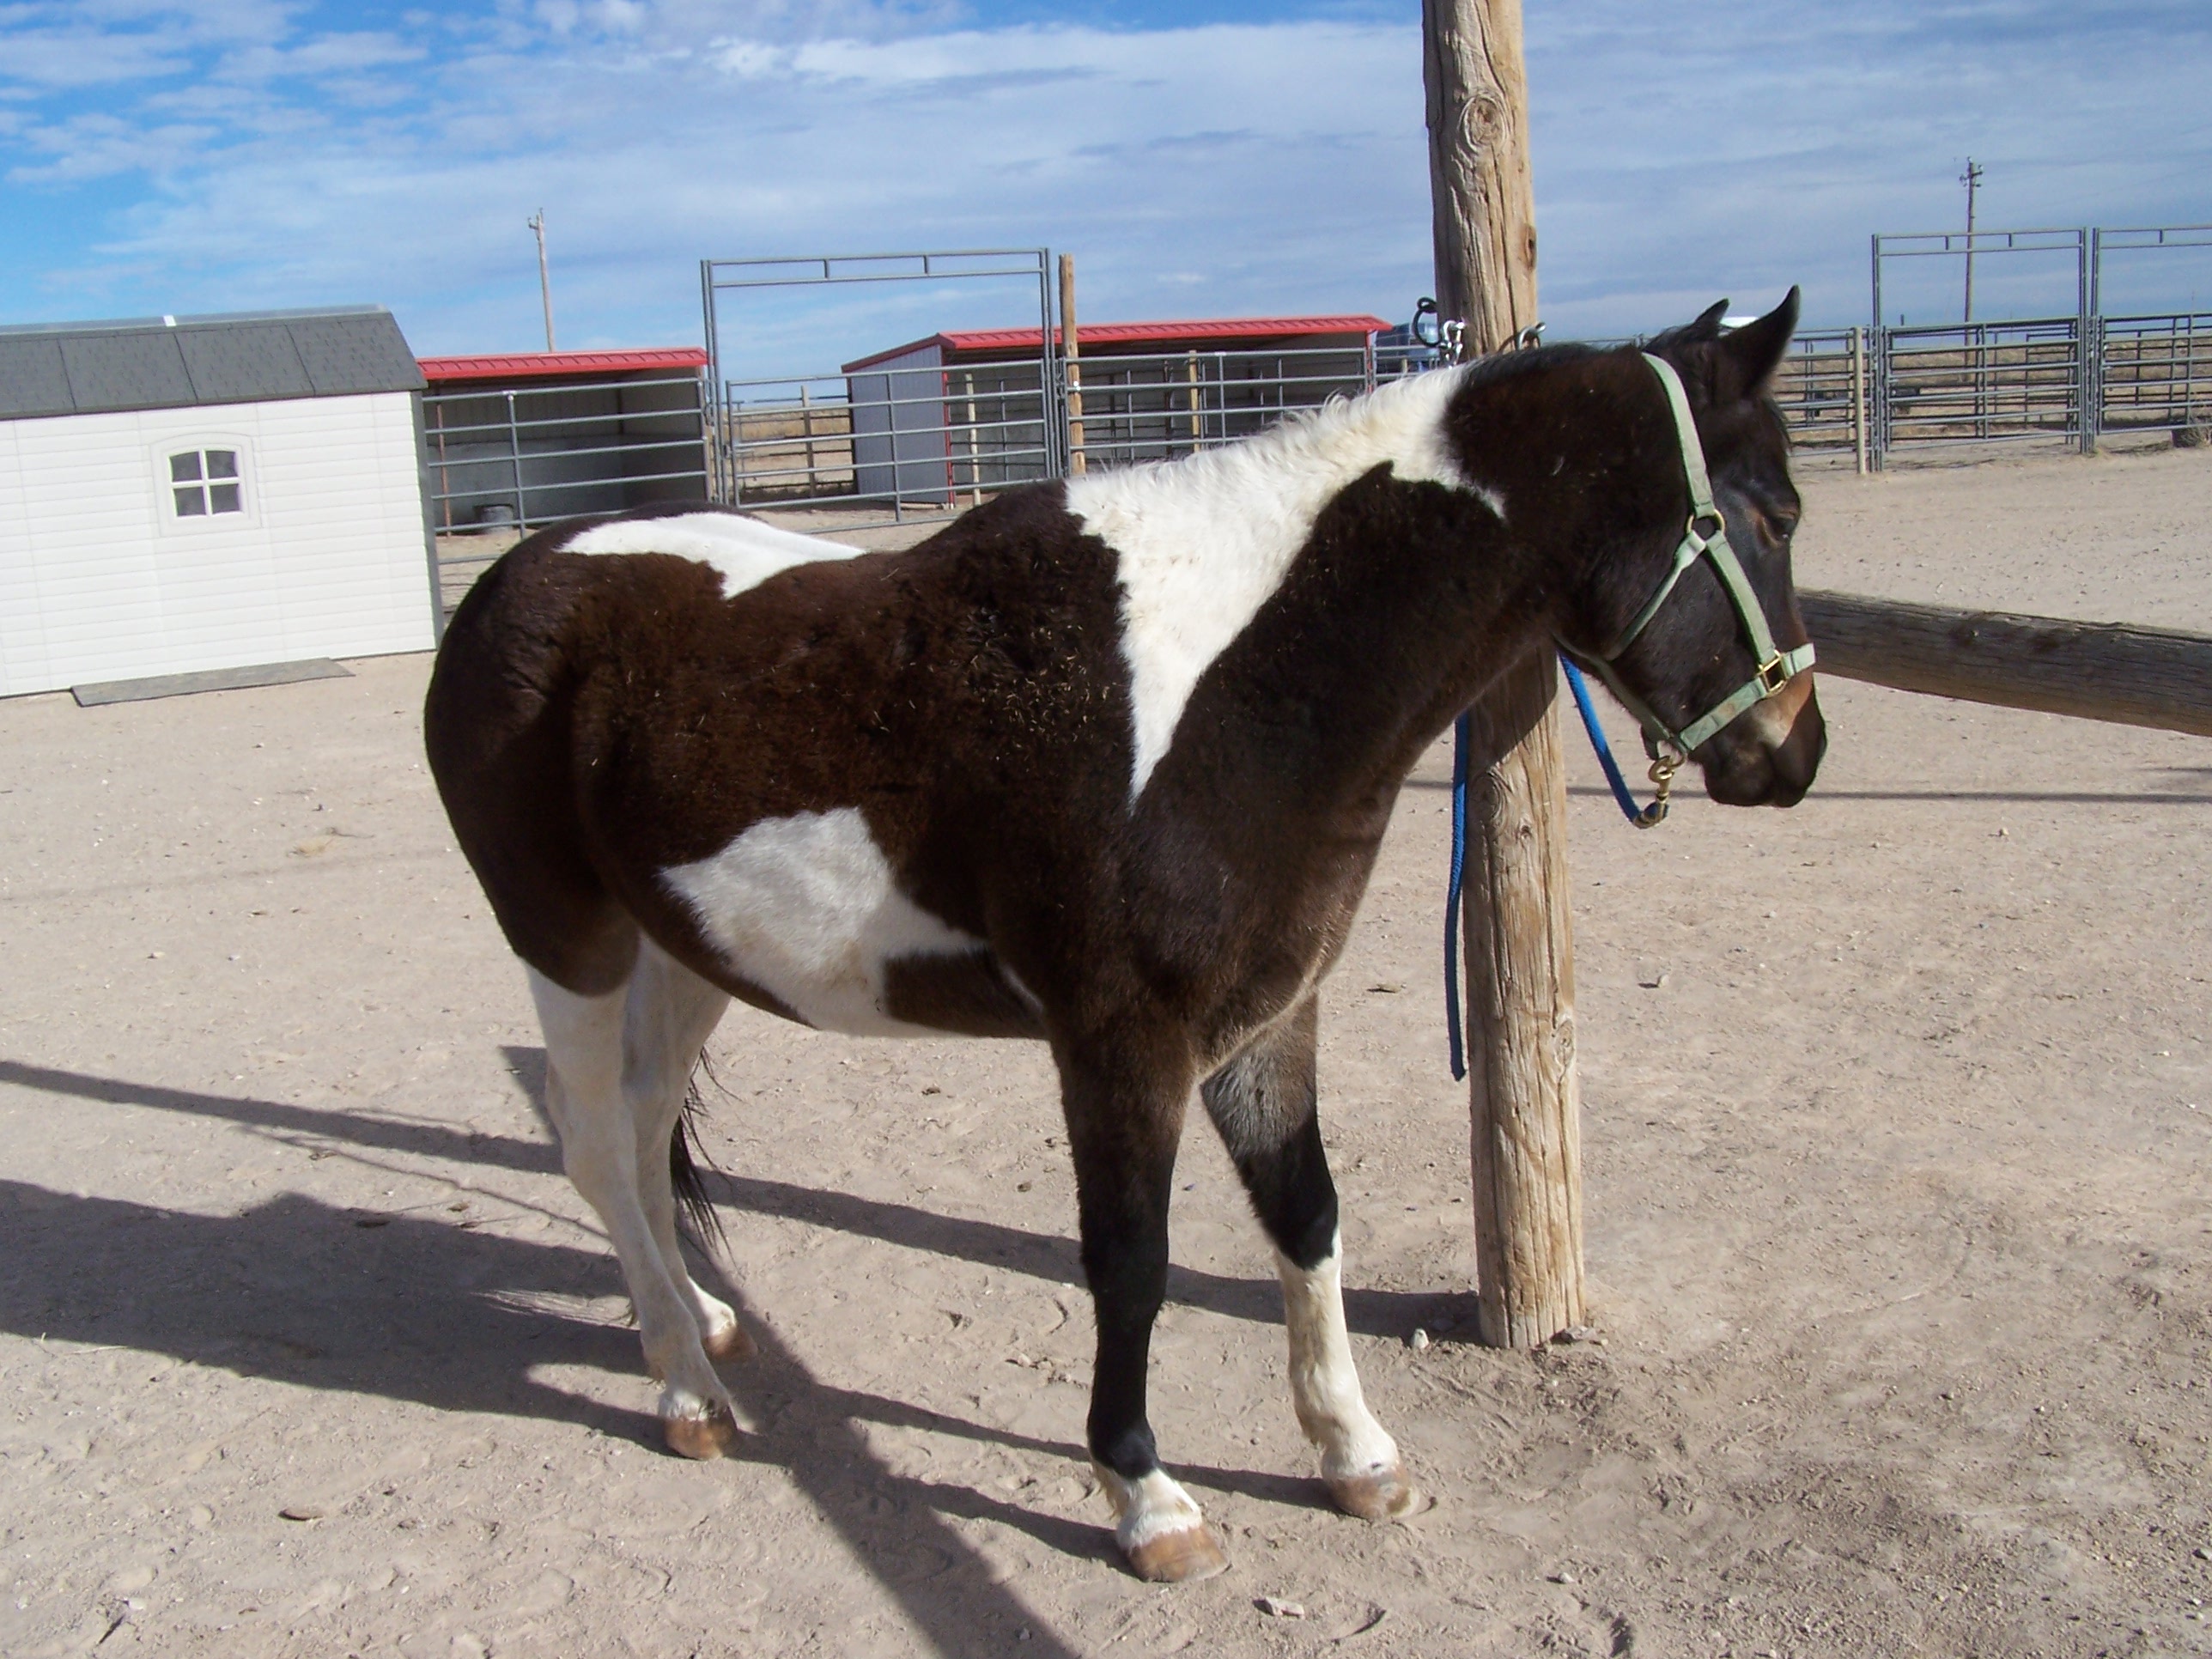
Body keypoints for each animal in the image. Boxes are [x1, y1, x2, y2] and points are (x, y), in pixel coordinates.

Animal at [427, 296, 1814, 1583]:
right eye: (1777, 516)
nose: (1794, 753)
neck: (1232, 688)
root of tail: (509, 580)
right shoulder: (1120, 1044)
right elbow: (1132, 1261)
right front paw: (1146, 1496)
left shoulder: (1268, 1016)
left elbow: (1306, 1216)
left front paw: (1354, 1452)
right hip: (570, 945)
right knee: (597, 1149)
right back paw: (685, 1393)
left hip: (679, 952)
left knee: (643, 1134)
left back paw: (699, 1322)